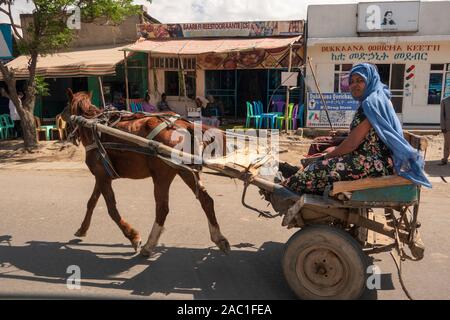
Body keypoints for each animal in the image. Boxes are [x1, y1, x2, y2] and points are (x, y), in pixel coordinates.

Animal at [61, 89, 230, 258]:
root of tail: (184, 124)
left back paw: (149, 245)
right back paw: (219, 238)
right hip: (185, 171)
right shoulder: (102, 175)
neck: (92, 125)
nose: (61, 119)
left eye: (66, 107)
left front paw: (133, 237)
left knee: (162, 208)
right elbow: (92, 202)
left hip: (162, 176)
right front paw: (82, 229)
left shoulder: (102, 176)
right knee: (206, 200)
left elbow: (111, 208)